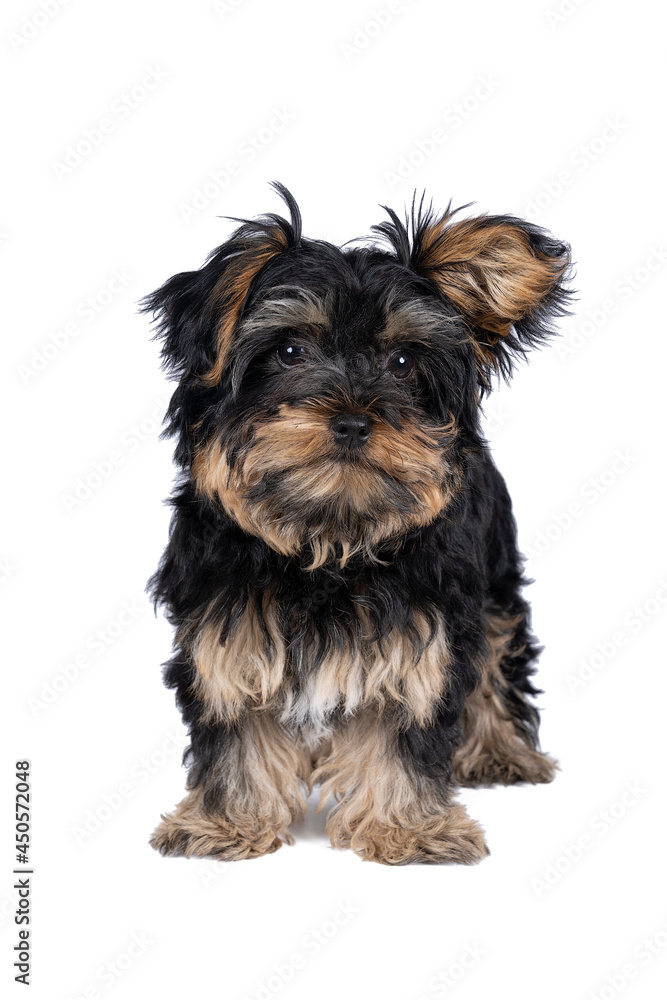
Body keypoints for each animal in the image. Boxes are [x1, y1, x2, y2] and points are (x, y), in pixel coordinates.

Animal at [144, 184, 572, 864]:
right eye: (289, 351)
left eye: (401, 361)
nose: (351, 420)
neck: (328, 538)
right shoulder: (225, 619)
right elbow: (235, 717)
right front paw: (228, 820)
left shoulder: (424, 626)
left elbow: (406, 719)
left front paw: (408, 828)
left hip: (496, 576)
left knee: (499, 653)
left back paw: (501, 752)